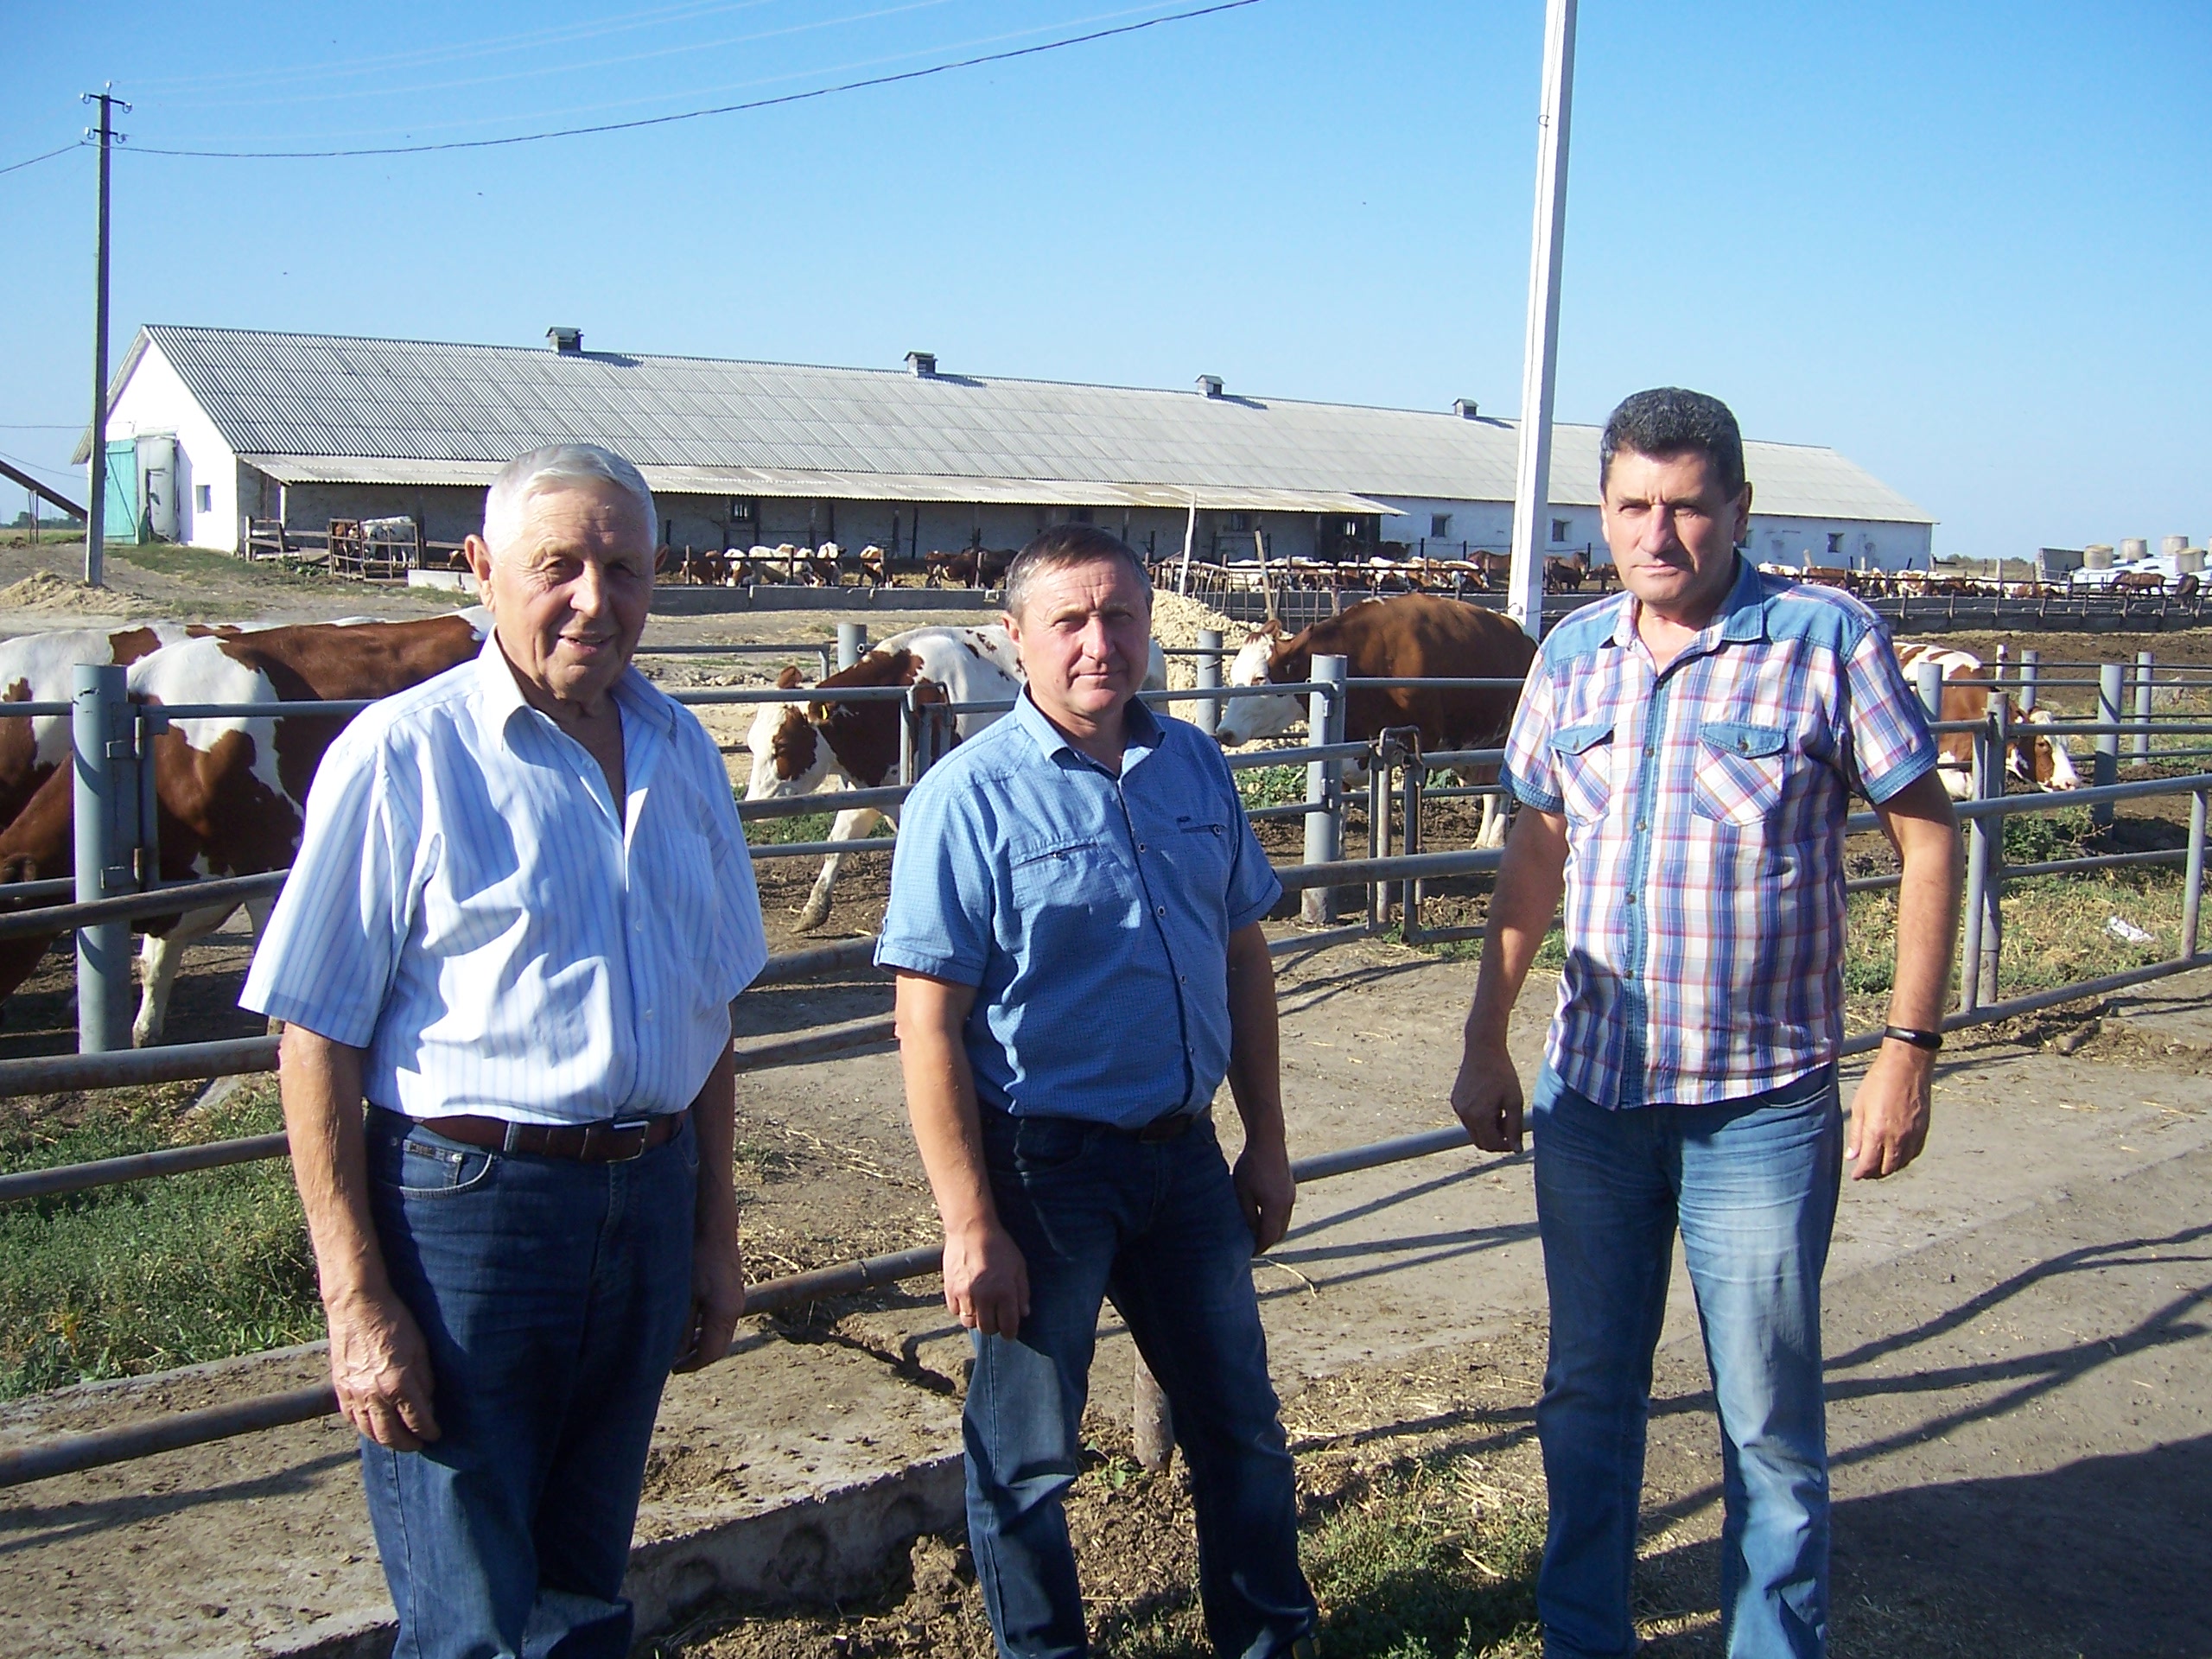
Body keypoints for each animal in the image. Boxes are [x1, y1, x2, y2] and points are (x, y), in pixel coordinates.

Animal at [1211, 597, 1539, 849]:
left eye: (1260, 678)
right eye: (1234, 675)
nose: (1223, 732)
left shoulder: (1416, 747)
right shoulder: (1343, 749)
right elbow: (1341, 809)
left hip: (1510, 741)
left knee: (1504, 790)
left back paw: (1496, 839)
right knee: (1489, 790)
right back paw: (1483, 839)